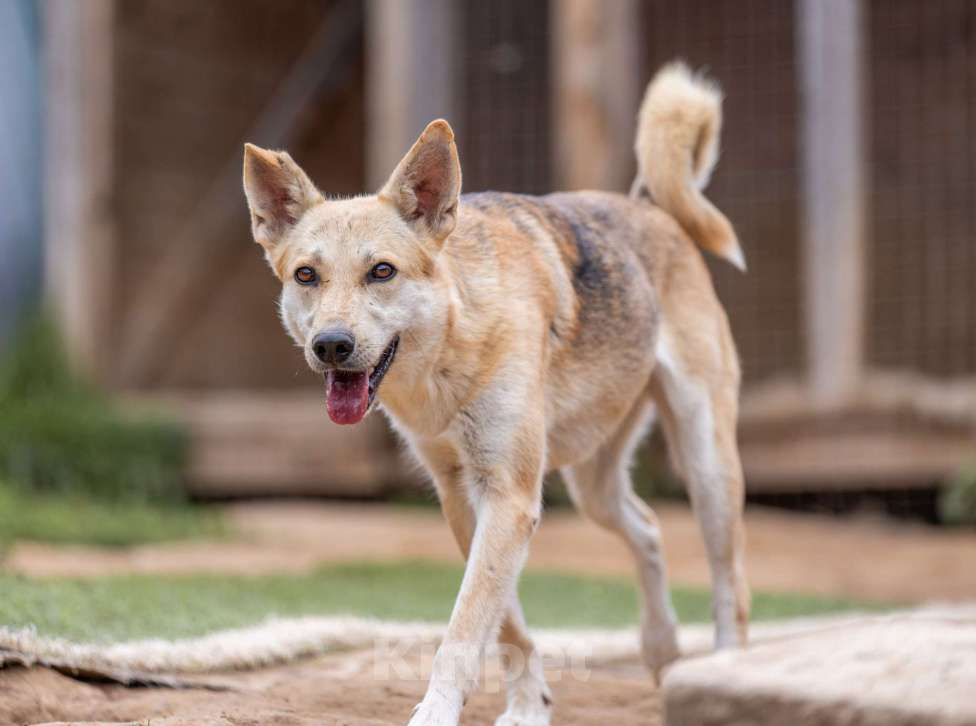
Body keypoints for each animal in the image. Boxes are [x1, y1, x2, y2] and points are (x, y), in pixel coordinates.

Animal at [242, 64, 748, 726]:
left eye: (382, 271)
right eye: (307, 276)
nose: (330, 345)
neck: (453, 350)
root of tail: (647, 206)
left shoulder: (508, 496)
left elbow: (463, 629)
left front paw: (435, 713)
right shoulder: (464, 496)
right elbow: (504, 624)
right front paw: (530, 705)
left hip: (707, 468)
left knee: (730, 588)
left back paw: (725, 670)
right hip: (594, 488)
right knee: (648, 528)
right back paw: (662, 650)